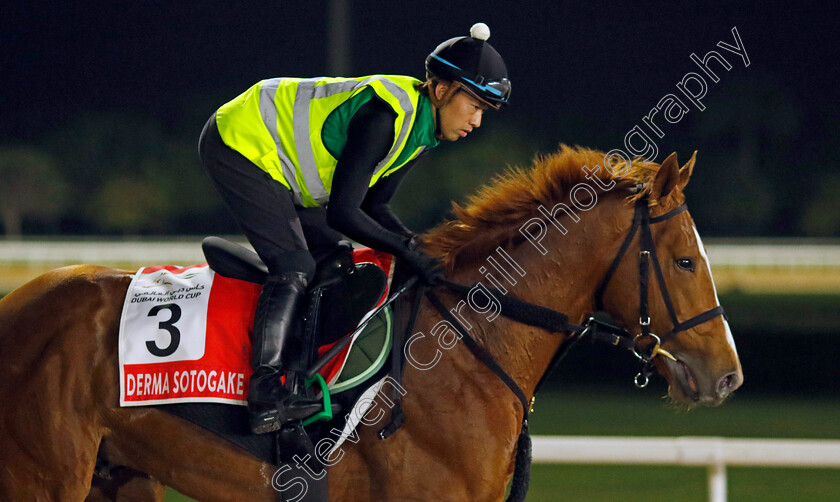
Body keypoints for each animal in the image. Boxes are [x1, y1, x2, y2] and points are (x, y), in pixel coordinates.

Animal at [0, 144, 740, 498]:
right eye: (682, 260)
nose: (727, 376)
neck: (467, 348)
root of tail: (17, 303)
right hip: (44, 480)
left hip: (119, 477)